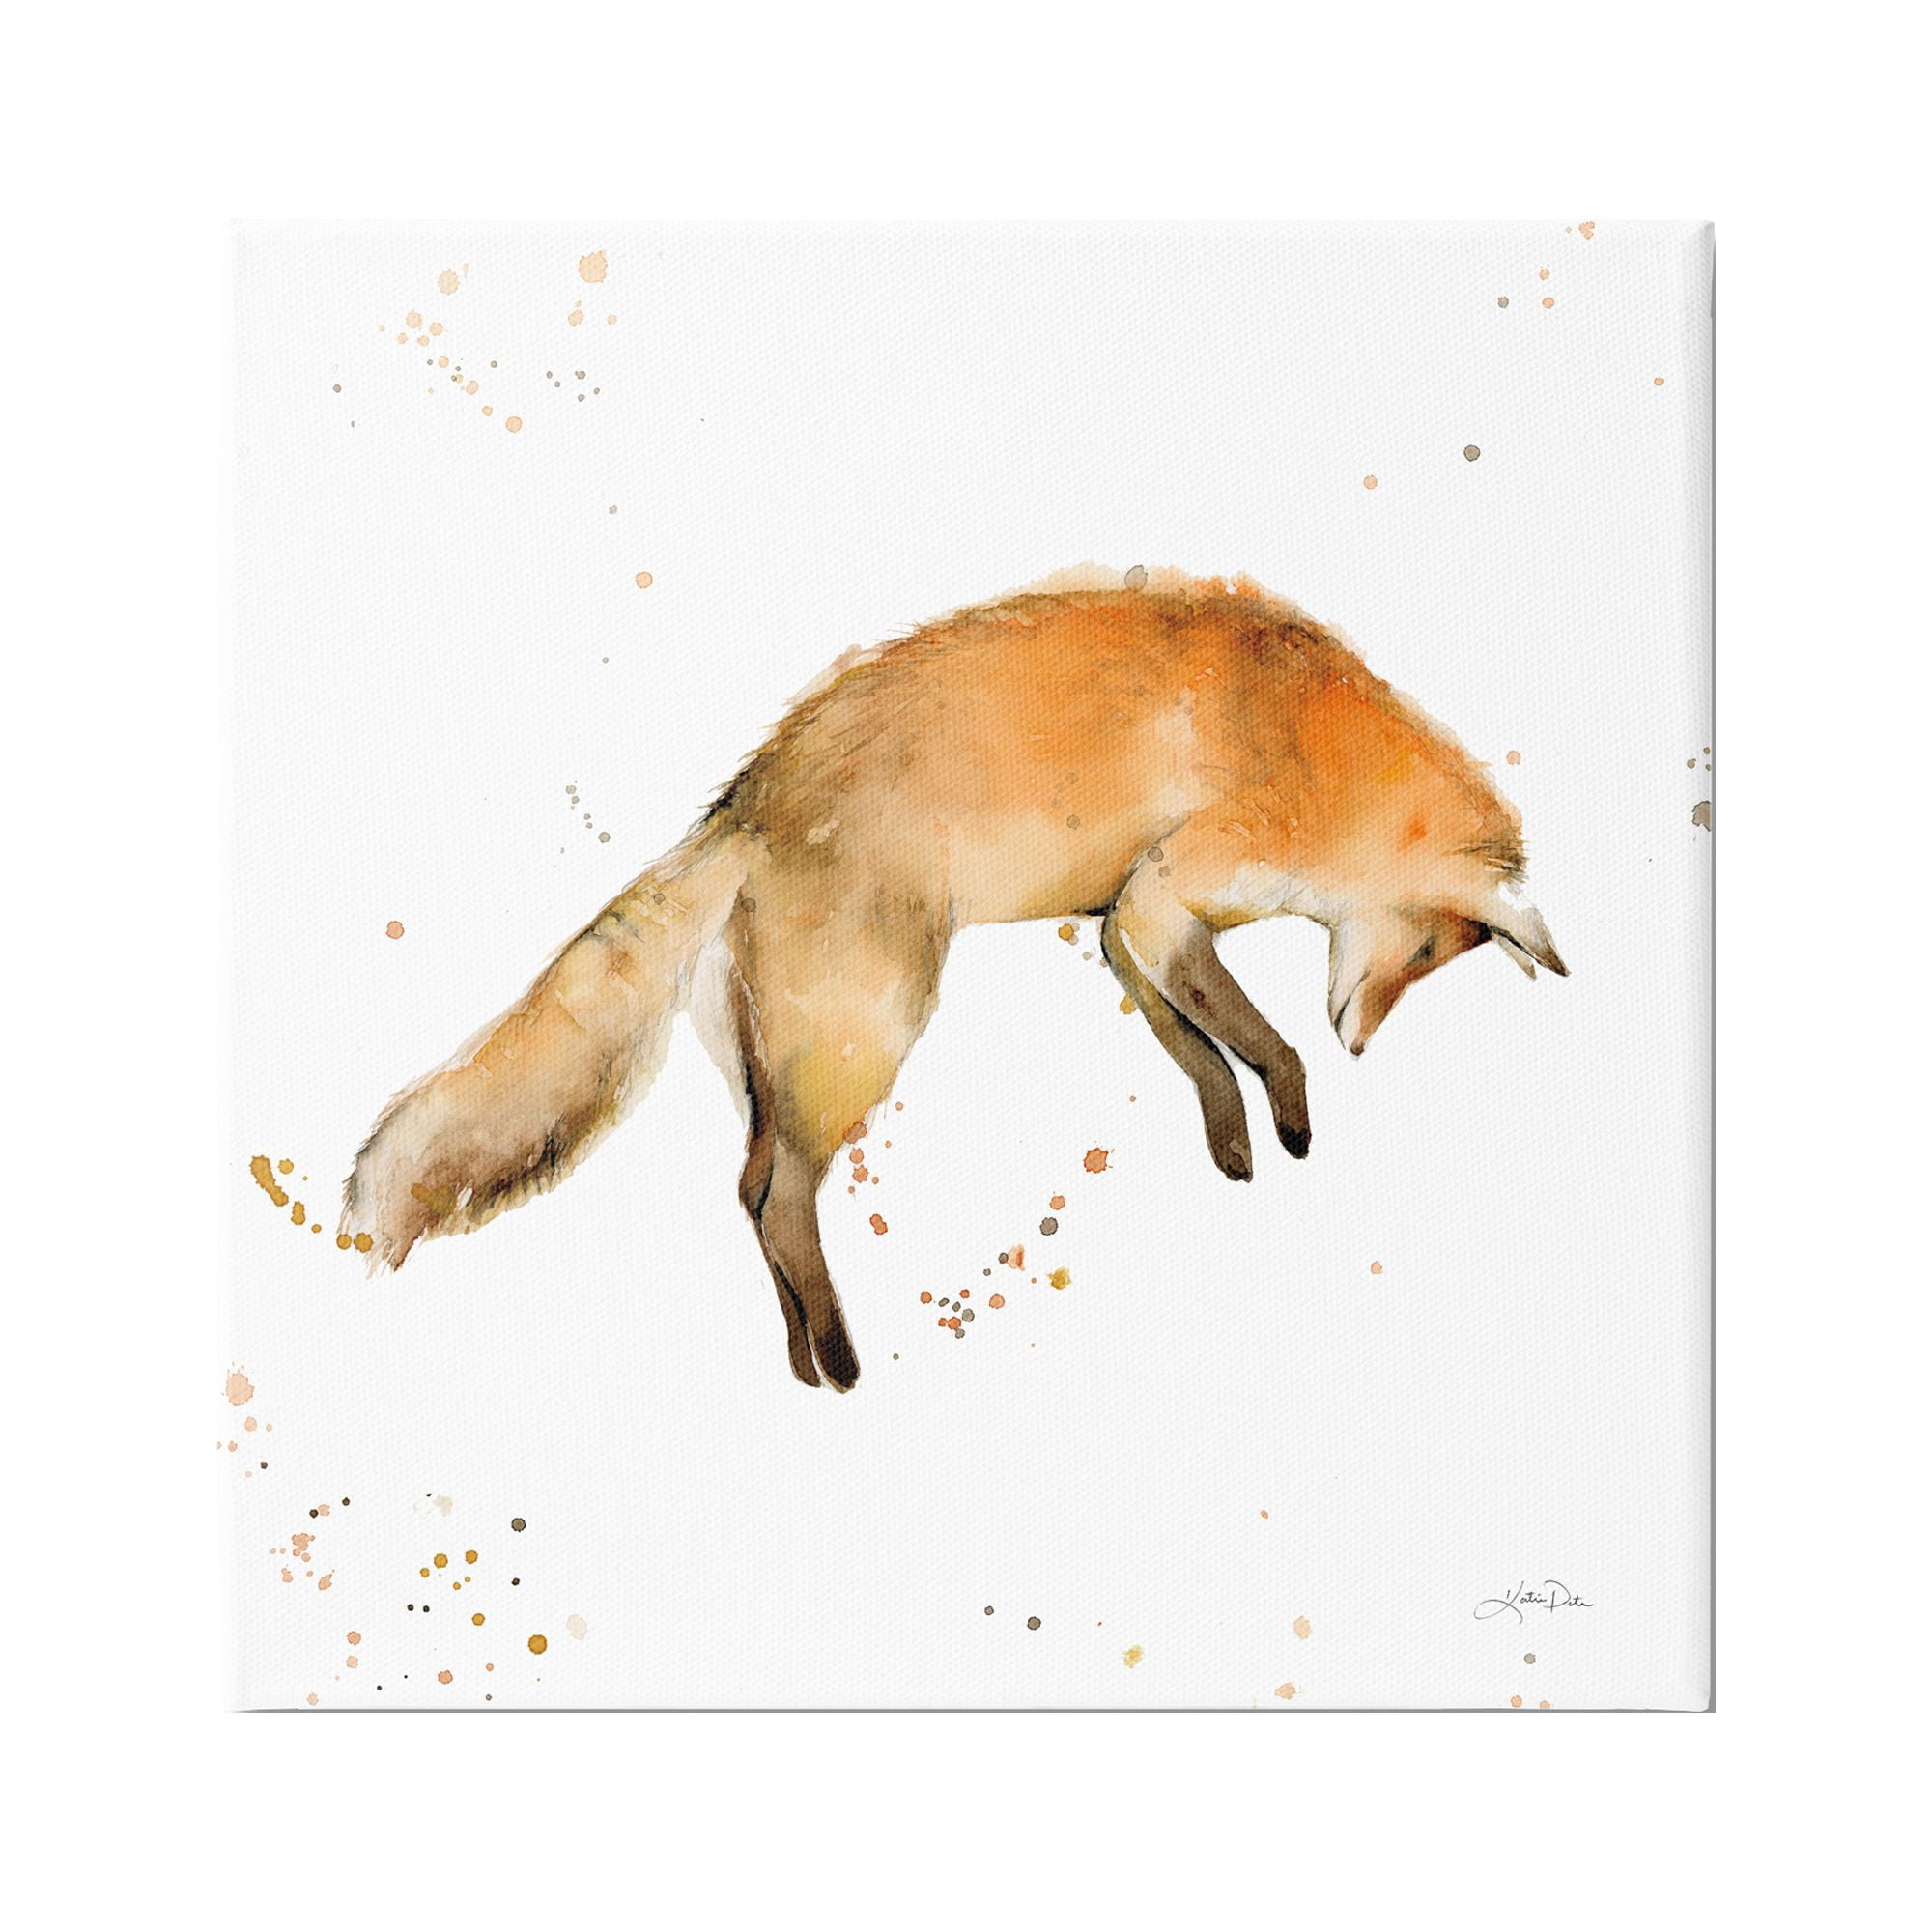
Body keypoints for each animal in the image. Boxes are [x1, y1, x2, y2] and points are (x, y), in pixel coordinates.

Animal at [343, 567, 1566, 1392]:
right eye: (1424, 951)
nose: (1363, 1037)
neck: (1321, 750)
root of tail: (744, 802)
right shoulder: (1162, 897)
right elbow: (1261, 1037)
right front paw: (1292, 1108)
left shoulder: (1126, 926)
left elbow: (1198, 1049)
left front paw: (1234, 1141)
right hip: (867, 1032)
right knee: (779, 1192)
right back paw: (841, 1359)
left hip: (783, 1060)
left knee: (748, 1187)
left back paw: (801, 1355)